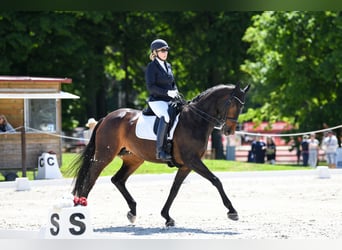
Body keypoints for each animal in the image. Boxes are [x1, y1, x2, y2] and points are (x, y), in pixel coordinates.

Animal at [71, 83, 250, 227]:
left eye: (242, 107)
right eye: (232, 104)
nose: (229, 131)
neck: (195, 120)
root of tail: (107, 117)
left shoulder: (186, 165)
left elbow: (174, 189)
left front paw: (167, 217)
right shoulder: (192, 160)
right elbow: (216, 180)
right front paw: (232, 211)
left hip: (134, 159)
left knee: (118, 180)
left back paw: (132, 212)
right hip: (104, 156)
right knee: (91, 178)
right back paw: (80, 209)